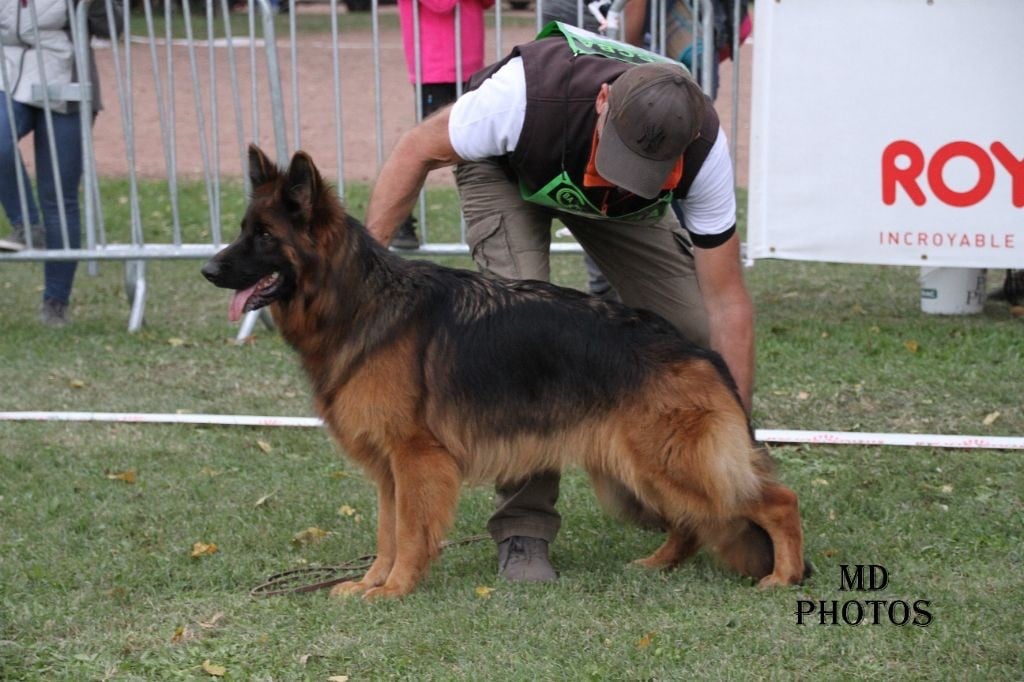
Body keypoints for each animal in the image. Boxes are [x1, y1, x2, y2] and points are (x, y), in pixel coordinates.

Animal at [201, 146, 806, 598]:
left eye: (263, 236)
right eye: (244, 228)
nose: (207, 269)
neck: (356, 301)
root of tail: (695, 350)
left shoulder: (415, 460)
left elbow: (409, 532)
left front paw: (395, 588)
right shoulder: (389, 469)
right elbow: (387, 531)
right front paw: (372, 581)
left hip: (668, 464)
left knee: (777, 501)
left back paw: (784, 575)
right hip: (636, 473)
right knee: (695, 520)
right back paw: (661, 563)